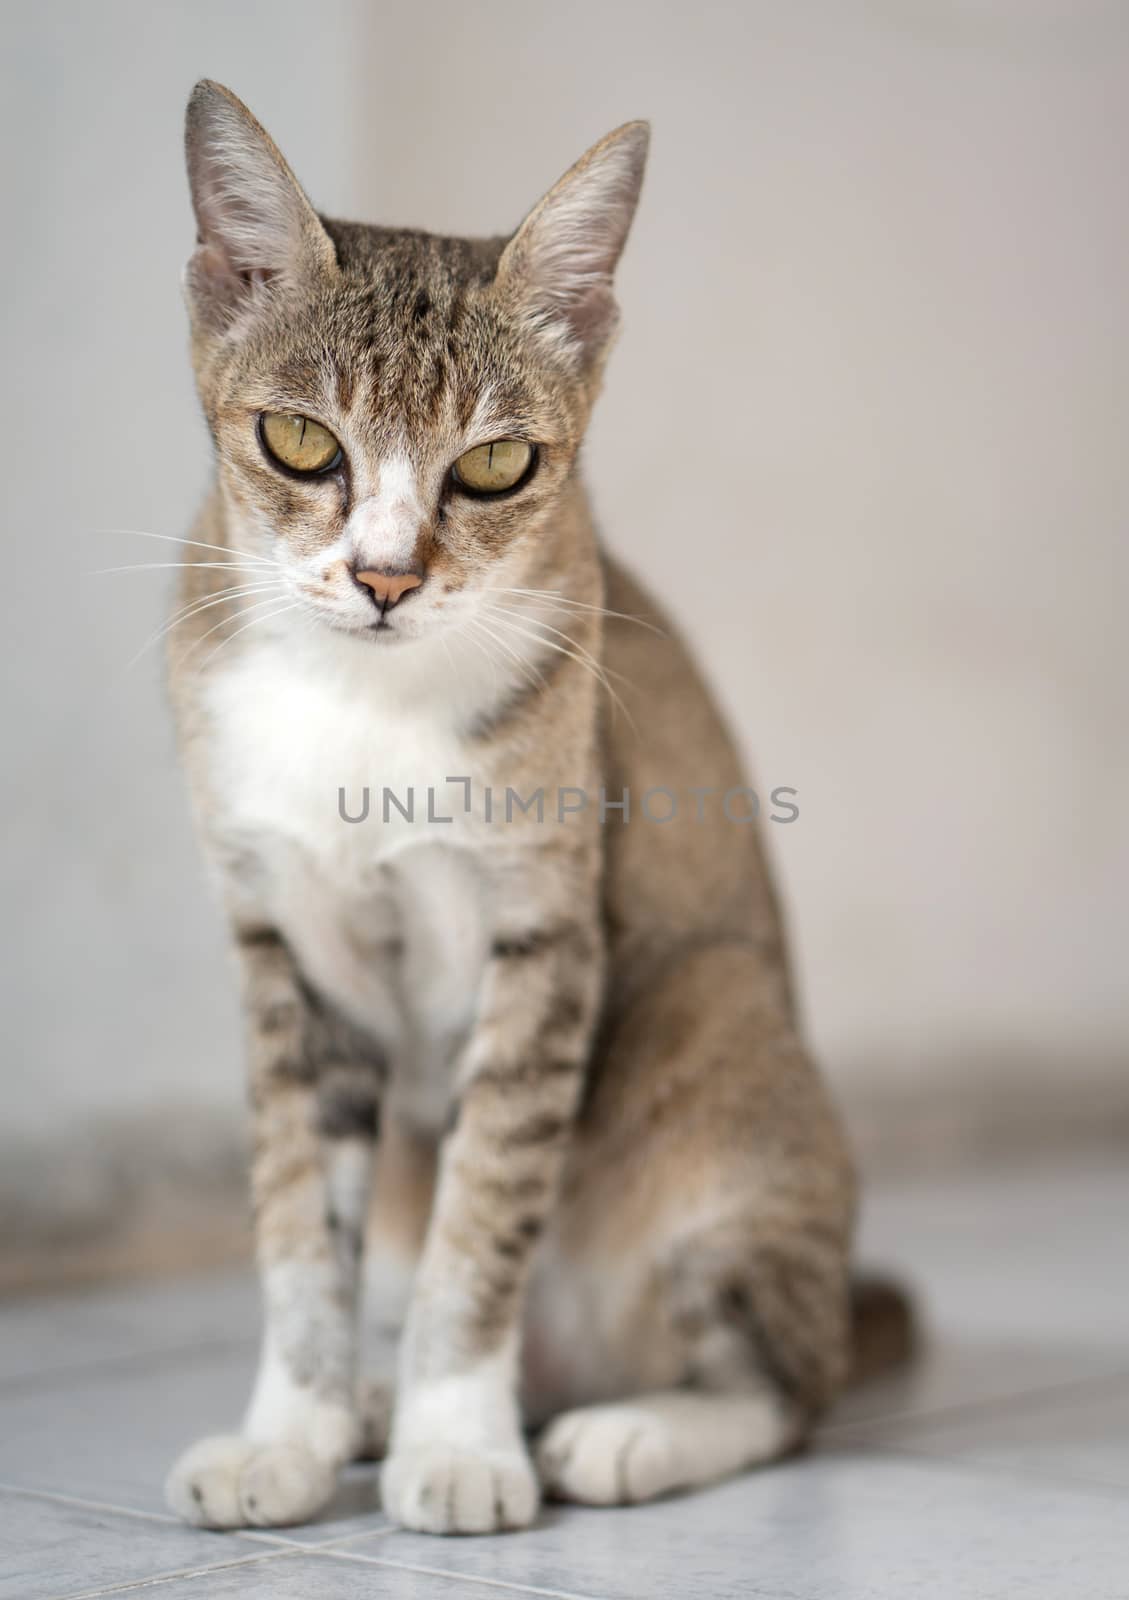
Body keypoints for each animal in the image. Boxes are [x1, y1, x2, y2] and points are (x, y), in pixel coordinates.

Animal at [164, 84, 908, 1536]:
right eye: (300, 441)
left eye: (499, 464)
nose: (387, 579)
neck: (361, 704)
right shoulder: (282, 944)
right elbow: (297, 1220)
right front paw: (289, 1432)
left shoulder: (542, 933)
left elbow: (489, 1210)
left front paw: (458, 1443)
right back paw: (376, 1406)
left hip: (717, 1031)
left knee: (788, 1387)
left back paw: (617, 1429)